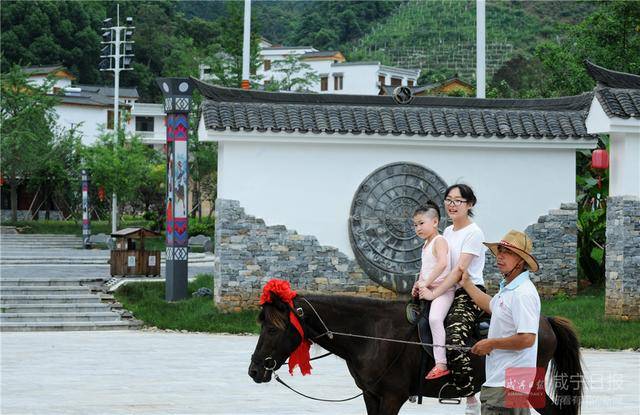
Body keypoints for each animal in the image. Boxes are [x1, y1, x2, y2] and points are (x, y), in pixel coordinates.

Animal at [250, 292, 584, 415]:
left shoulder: (392, 397)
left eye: (273, 329)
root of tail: (544, 322)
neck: (372, 333)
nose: (255, 370)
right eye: (262, 325)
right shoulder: (372, 396)